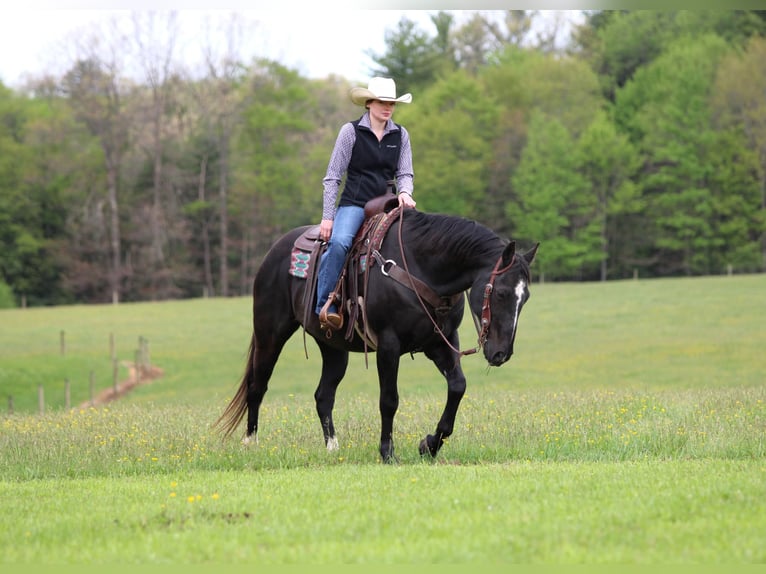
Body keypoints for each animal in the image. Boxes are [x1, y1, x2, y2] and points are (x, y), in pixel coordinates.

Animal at [214, 207, 538, 462]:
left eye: (525, 298)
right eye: (502, 293)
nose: (501, 353)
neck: (420, 267)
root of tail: (275, 251)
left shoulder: (440, 342)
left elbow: (457, 387)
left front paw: (429, 445)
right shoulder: (388, 345)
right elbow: (389, 400)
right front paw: (387, 452)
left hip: (333, 347)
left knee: (323, 395)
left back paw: (333, 449)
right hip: (270, 333)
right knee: (257, 385)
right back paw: (250, 444)